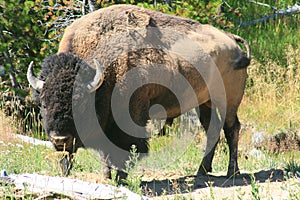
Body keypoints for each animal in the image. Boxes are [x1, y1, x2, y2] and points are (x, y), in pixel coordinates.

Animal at [27, 4, 251, 180]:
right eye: (43, 104)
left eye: (80, 103)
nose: (60, 139)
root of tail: (231, 40)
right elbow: (99, 153)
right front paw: (103, 177)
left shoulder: (130, 115)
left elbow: (126, 146)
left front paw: (121, 178)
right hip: (204, 102)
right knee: (212, 130)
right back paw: (202, 171)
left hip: (229, 99)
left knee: (231, 128)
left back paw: (232, 172)